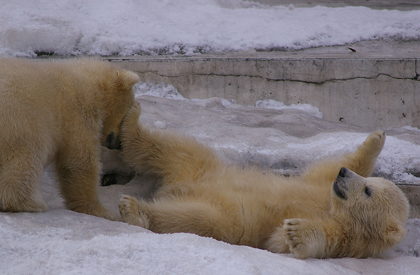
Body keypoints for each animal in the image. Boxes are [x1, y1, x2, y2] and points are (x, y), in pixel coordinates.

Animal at [0, 57, 141, 221]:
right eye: (127, 112)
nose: (118, 144)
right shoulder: (78, 112)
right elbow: (79, 162)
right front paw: (103, 212)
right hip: (20, 119)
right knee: (27, 156)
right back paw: (28, 203)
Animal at [119, 104, 410, 260]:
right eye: (369, 181)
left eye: (368, 190)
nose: (343, 174)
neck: (334, 209)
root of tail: (175, 186)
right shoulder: (320, 187)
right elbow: (325, 169)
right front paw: (376, 139)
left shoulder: (348, 239)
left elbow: (282, 242)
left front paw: (296, 230)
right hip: (202, 167)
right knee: (175, 149)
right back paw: (129, 124)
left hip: (228, 214)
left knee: (197, 218)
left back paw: (135, 209)